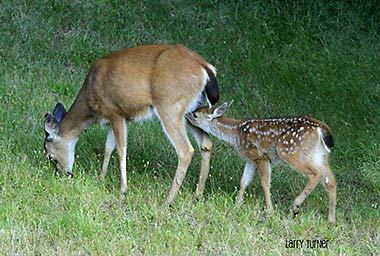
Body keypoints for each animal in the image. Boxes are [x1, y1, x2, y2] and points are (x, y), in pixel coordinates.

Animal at [43, 44, 218, 204]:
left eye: (51, 156)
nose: (64, 174)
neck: (90, 98)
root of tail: (204, 68)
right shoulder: (121, 117)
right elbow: (108, 147)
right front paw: (101, 178)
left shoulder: (116, 112)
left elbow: (121, 149)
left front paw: (122, 191)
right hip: (193, 111)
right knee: (206, 143)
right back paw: (197, 195)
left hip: (170, 107)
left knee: (186, 150)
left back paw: (167, 200)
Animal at [186, 102, 336, 224]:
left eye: (195, 115)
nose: (186, 114)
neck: (236, 133)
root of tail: (321, 129)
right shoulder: (250, 160)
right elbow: (243, 181)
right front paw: (237, 206)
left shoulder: (261, 156)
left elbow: (265, 183)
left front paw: (270, 211)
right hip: (320, 156)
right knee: (330, 181)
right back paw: (331, 219)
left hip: (291, 151)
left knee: (315, 174)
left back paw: (296, 206)